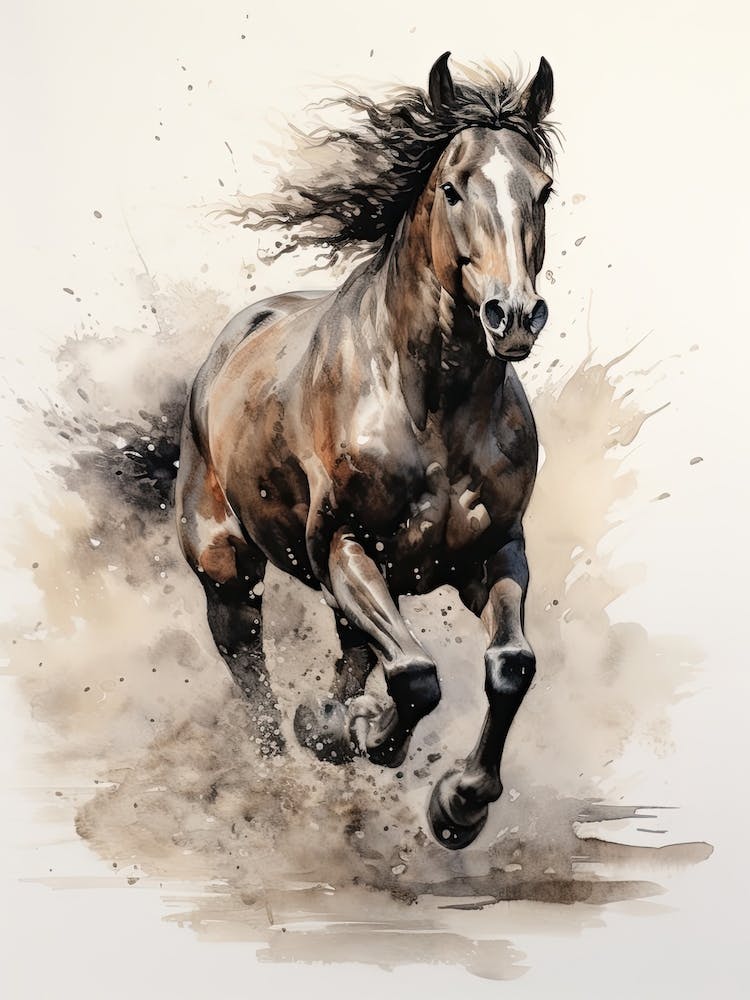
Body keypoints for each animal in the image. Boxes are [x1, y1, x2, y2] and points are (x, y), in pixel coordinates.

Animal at [175, 52, 557, 849]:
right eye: (451, 188)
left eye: (543, 190)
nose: (513, 316)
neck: (432, 409)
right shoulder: (345, 546)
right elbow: (414, 676)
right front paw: (361, 736)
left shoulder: (494, 551)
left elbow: (510, 665)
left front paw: (460, 804)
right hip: (227, 568)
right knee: (247, 663)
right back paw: (285, 767)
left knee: (352, 651)